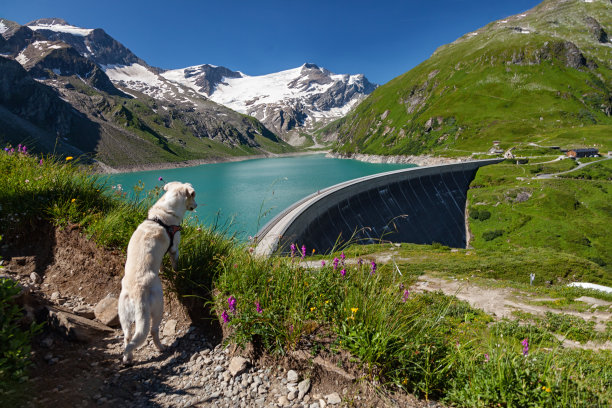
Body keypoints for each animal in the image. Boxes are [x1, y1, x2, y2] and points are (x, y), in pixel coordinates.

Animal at [118, 182, 197, 364]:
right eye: (193, 196)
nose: (196, 205)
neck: (163, 215)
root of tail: (137, 292)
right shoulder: (174, 248)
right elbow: (176, 264)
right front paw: (177, 273)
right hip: (158, 307)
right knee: (153, 331)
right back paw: (161, 347)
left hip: (123, 314)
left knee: (128, 337)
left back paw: (128, 357)